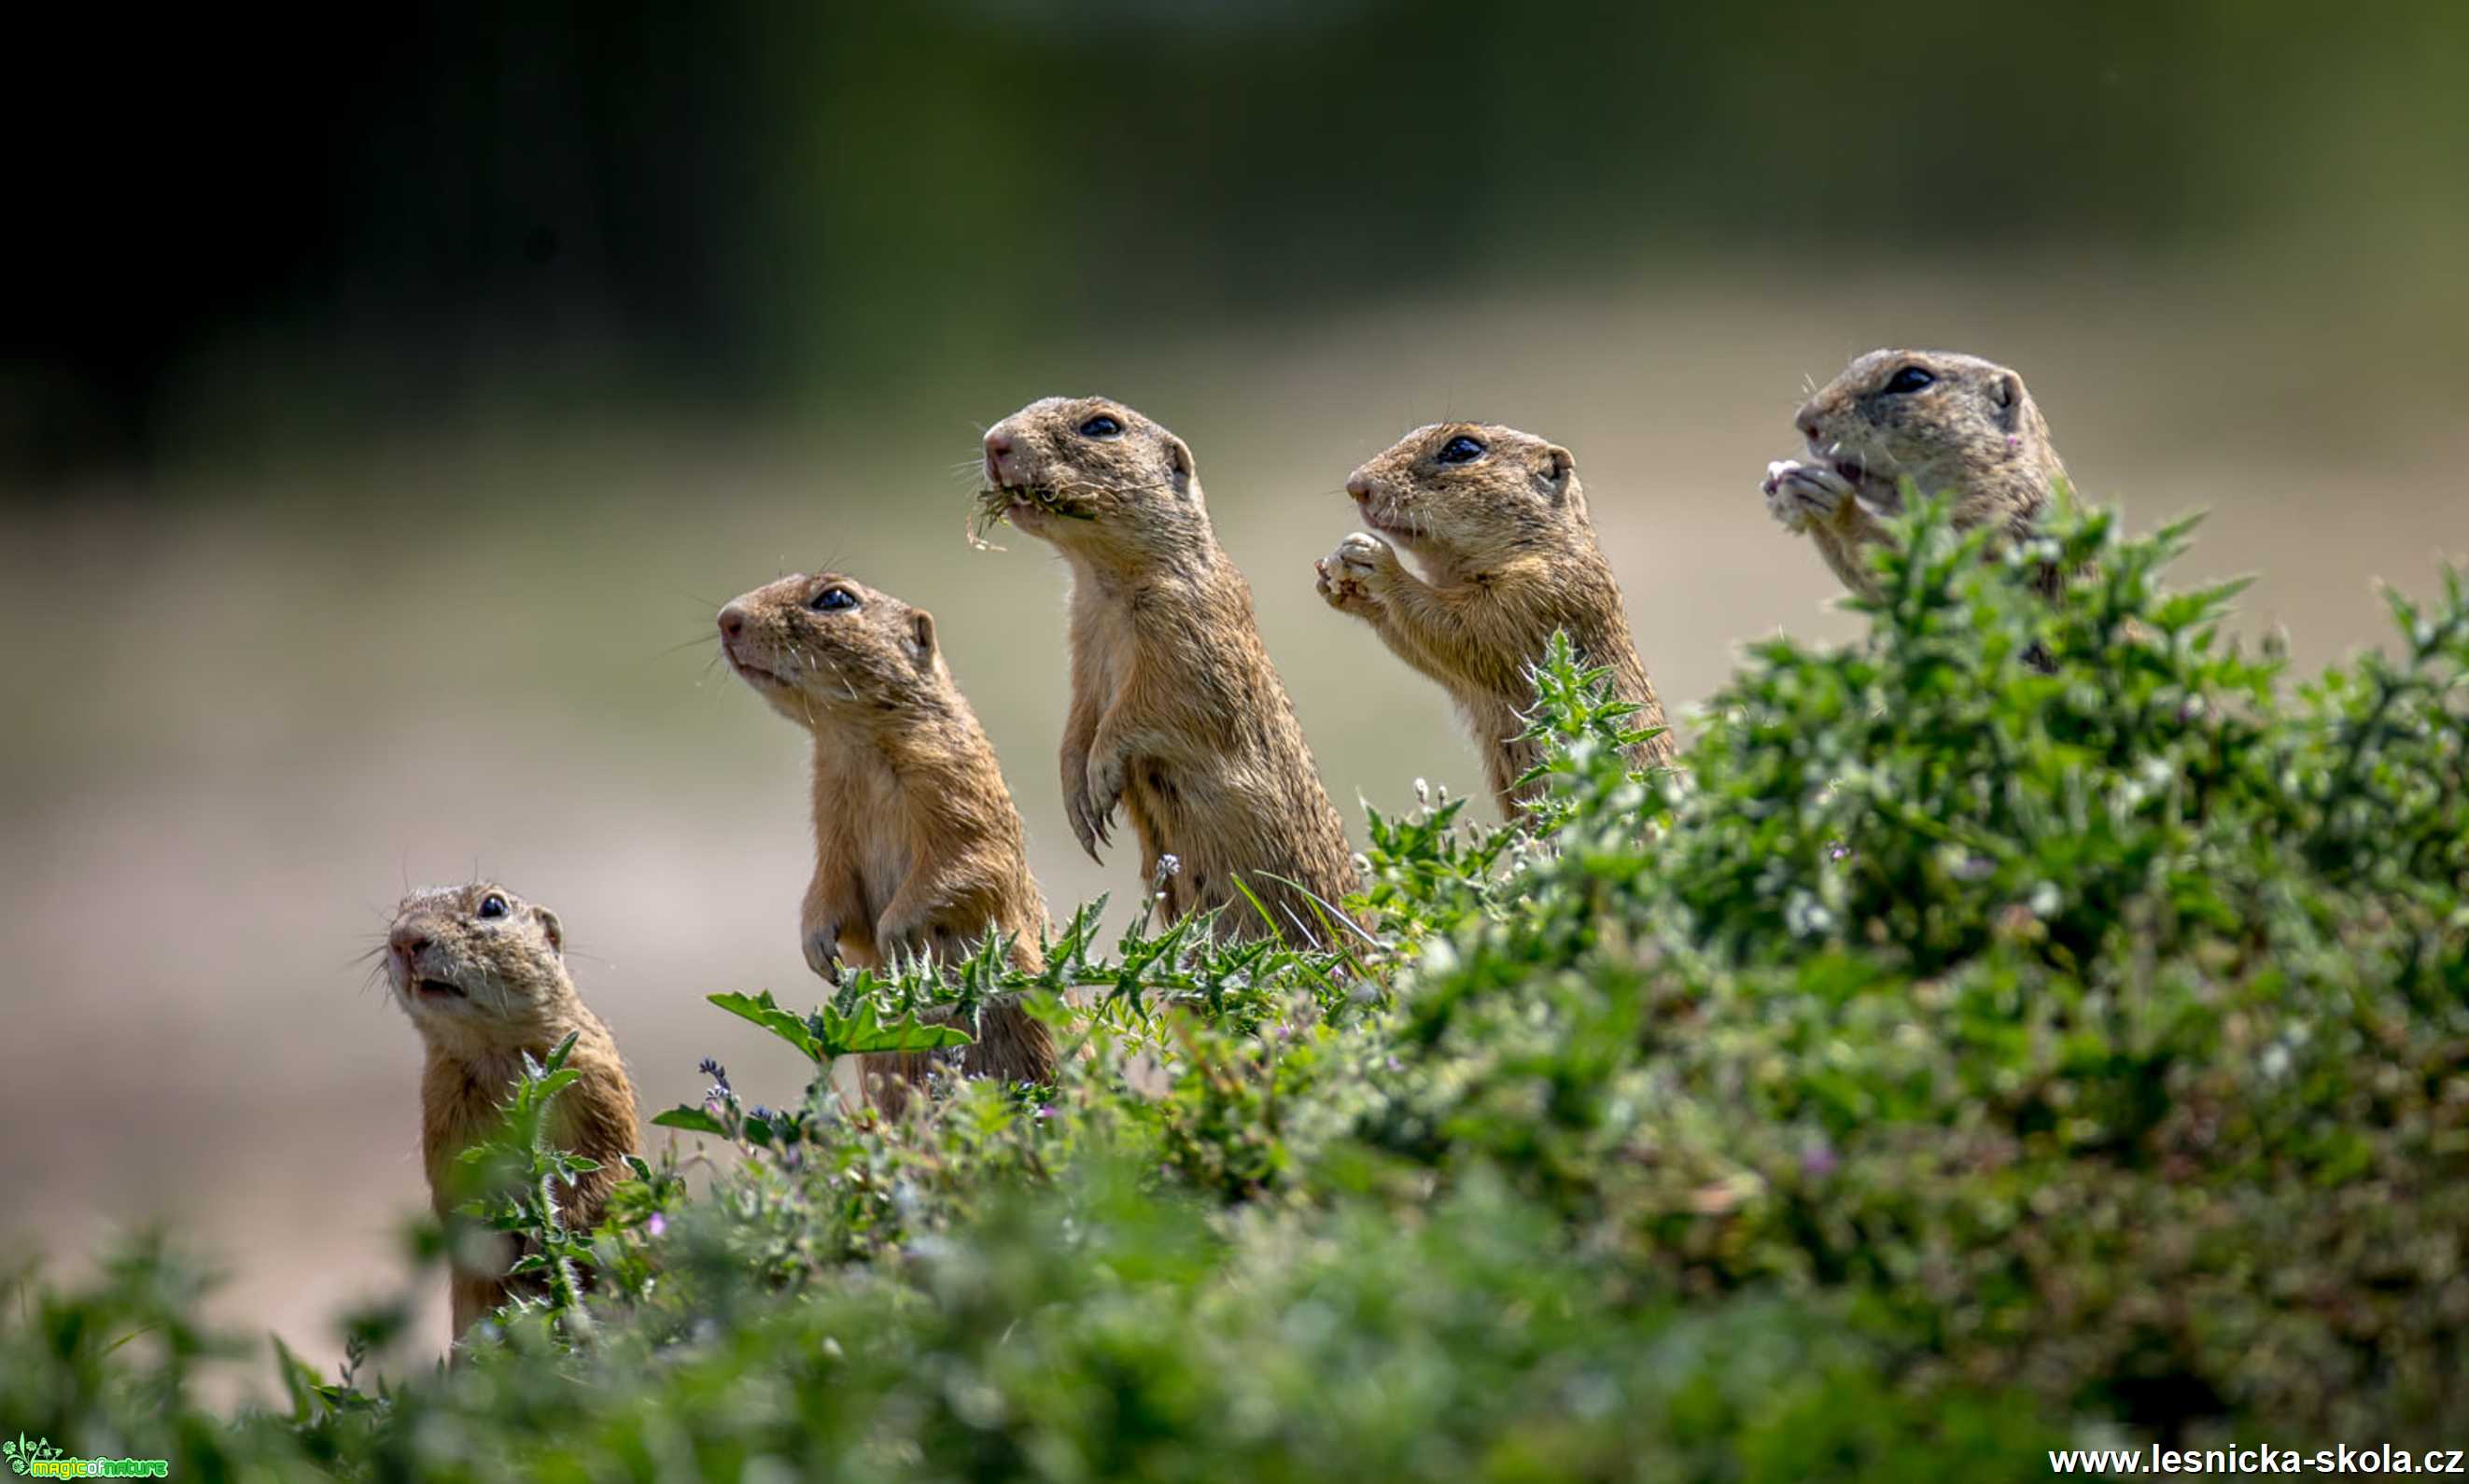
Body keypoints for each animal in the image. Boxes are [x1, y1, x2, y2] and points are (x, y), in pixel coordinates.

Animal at [380, 878, 637, 1343]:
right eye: (402, 908)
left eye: (493, 906)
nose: (404, 938)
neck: (492, 1045)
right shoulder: (441, 1106)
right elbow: (456, 1190)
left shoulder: (595, 1077)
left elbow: (604, 1162)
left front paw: (548, 1239)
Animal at [721, 570, 1057, 1111]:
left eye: (835, 598)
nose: (727, 618)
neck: (852, 743)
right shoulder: (830, 819)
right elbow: (829, 887)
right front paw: (819, 949)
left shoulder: (960, 790)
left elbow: (967, 865)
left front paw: (894, 935)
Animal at [973, 392, 1363, 943]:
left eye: (1102, 426)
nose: (994, 442)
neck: (1104, 583)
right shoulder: (1083, 648)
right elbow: (1078, 721)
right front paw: (1077, 803)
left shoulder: (1188, 639)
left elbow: (1154, 710)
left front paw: (1099, 778)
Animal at [1313, 417, 1678, 815]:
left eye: (1462, 449)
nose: (1356, 485)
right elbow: (1425, 648)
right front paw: (1339, 587)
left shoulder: (1533, 599)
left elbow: (1455, 629)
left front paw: (1376, 562)